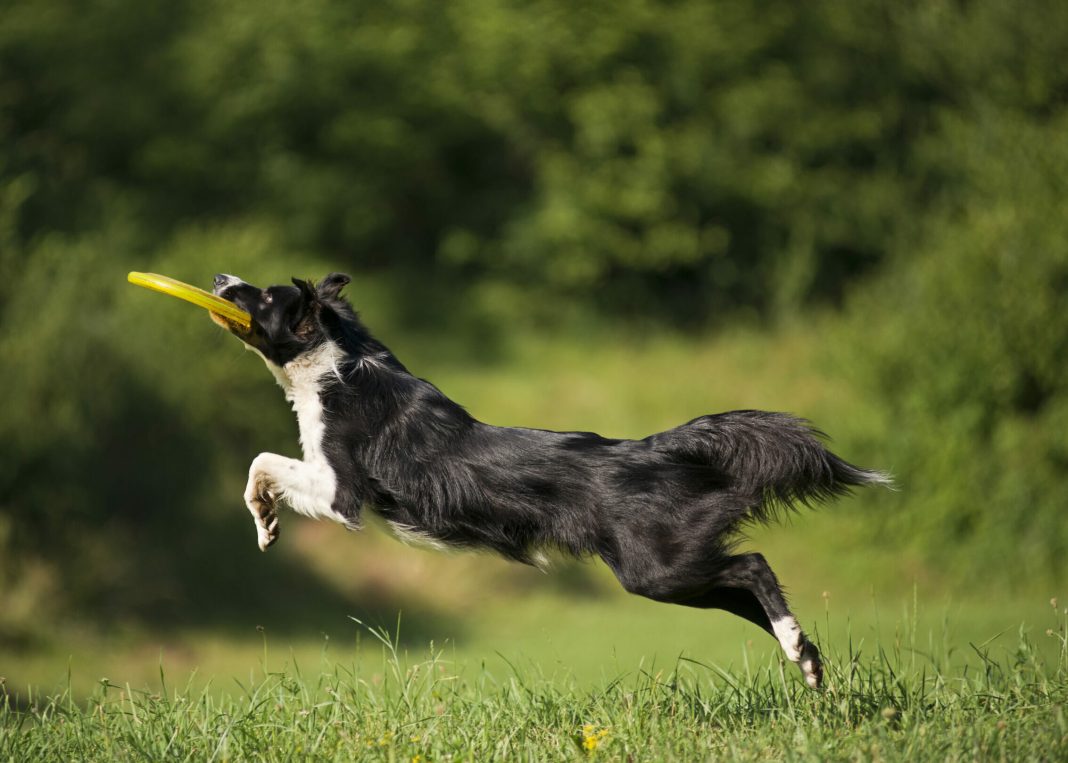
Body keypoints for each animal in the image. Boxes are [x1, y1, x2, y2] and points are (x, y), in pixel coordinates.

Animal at [210, 273, 892, 688]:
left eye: (264, 299)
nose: (219, 280)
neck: (339, 362)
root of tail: (653, 448)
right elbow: (261, 465)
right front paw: (266, 523)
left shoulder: (341, 490)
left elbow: (263, 462)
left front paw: (265, 519)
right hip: (677, 570)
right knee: (748, 591)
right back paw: (806, 659)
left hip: (658, 568)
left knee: (753, 566)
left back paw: (798, 648)